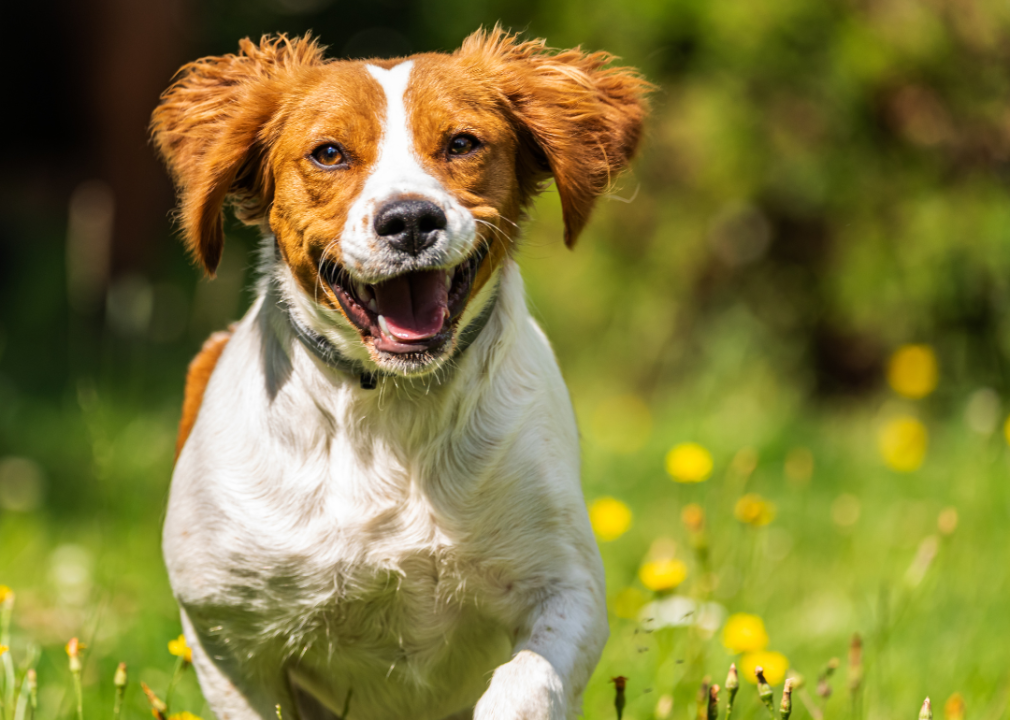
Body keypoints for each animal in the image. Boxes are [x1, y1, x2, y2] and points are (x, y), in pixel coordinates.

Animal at [154, 25, 650, 718]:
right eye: (329, 153)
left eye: (462, 143)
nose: (411, 219)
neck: (391, 408)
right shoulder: (224, 629)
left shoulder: (567, 584)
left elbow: (525, 685)